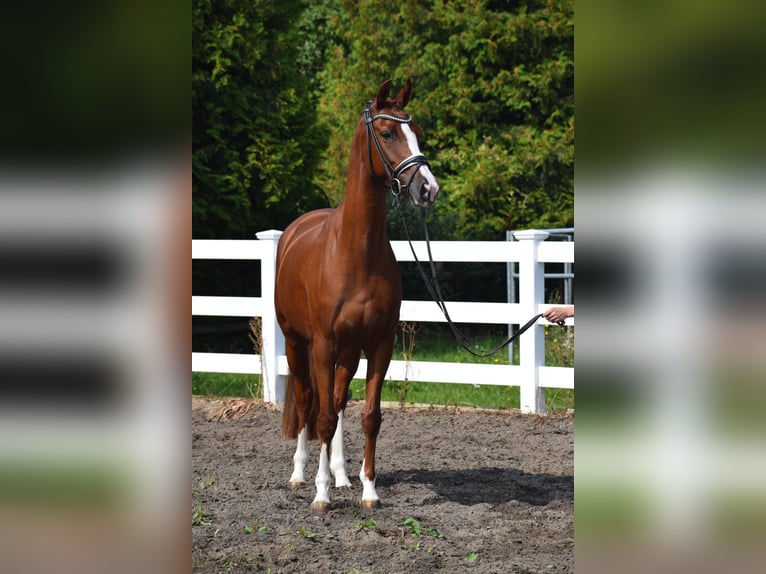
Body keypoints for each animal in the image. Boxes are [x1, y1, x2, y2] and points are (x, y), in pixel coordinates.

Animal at [278, 79, 440, 516]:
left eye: (418, 131)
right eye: (386, 133)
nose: (427, 188)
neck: (356, 252)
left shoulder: (379, 344)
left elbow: (369, 416)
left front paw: (368, 489)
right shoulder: (323, 345)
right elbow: (320, 417)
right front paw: (320, 496)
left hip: (348, 353)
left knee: (336, 401)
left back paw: (342, 476)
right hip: (297, 344)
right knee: (308, 401)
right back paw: (301, 474)